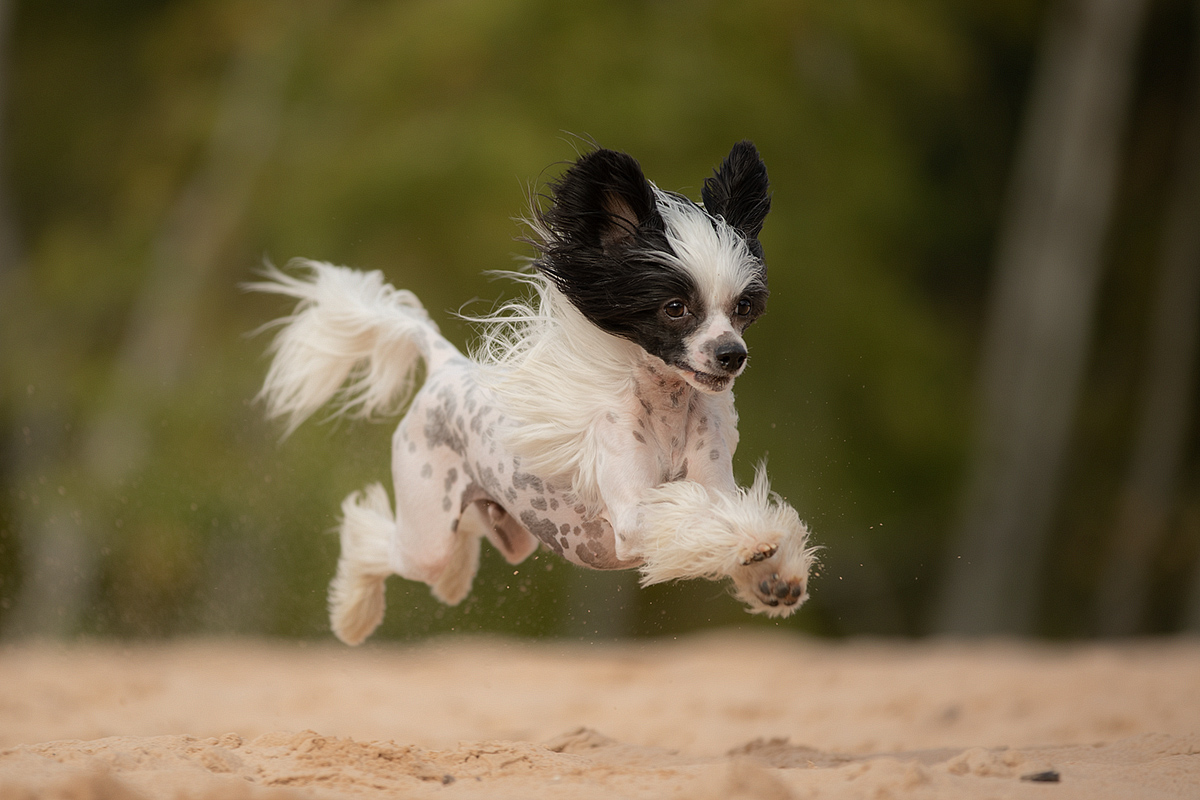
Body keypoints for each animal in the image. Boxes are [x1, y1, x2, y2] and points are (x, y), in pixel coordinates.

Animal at [250, 142, 816, 642]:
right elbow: (700, 515)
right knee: (374, 540)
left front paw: (772, 573)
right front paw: (757, 543)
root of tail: (445, 362)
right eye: (675, 307)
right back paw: (354, 613)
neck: (667, 409)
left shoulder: (712, 483)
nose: (731, 354)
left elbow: (723, 511)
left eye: (743, 306)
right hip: (426, 532)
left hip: (501, 528)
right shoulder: (635, 516)